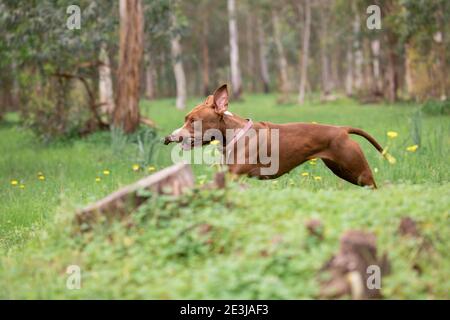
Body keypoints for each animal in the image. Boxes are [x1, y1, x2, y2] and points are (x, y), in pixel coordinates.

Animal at [165, 84, 384, 188]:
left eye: (193, 121)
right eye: (186, 118)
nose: (170, 136)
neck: (234, 134)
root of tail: (341, 129)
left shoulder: (234, 176)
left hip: (358, 171)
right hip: (342, 170)